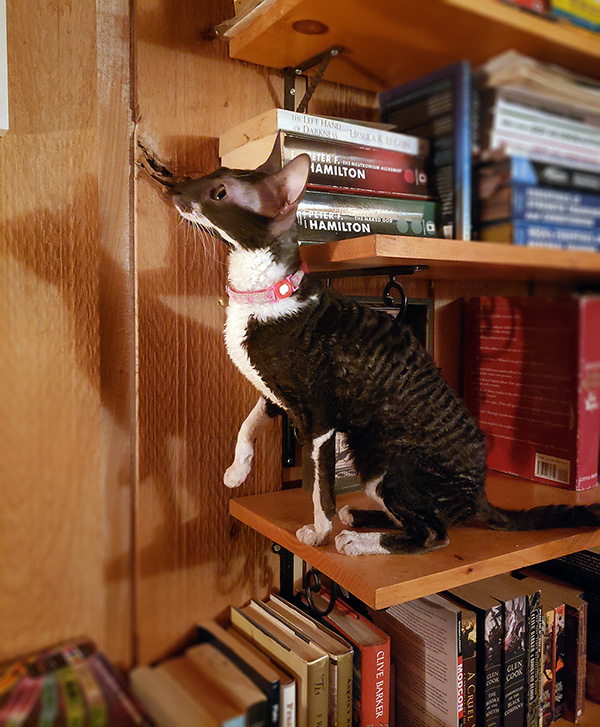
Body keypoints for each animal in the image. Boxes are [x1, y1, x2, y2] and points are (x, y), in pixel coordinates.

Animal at [169, 151, 600, 556]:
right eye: (210, 177)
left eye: (219, 192)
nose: (173, 191)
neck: (261, 292)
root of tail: (479, 495)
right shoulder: (274, 392)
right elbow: (248, 423)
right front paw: (236, 470)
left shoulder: (319, 419)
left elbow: (320, 488)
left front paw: (319, 532)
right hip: (371, 458)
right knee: (418, 520)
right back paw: (358, 518)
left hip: (388, 463)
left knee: (434, 533)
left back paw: (359, 541)